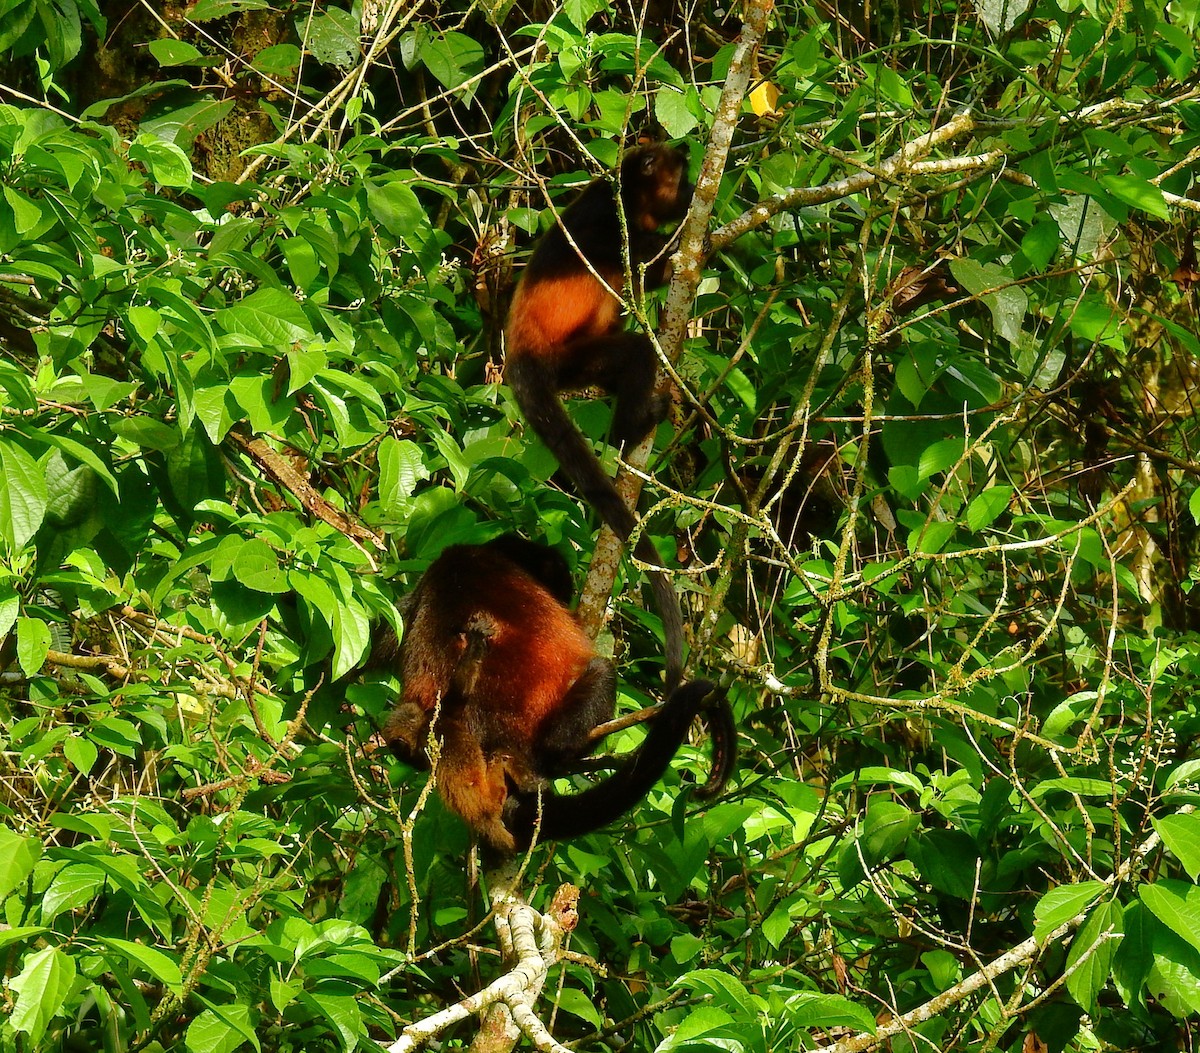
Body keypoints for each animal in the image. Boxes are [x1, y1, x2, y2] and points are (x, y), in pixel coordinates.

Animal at [503, 144, 694, 690]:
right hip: (562, 359)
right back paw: (631, 428)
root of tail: (518, 360)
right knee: (635, 352)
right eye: (680, 177)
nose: (695, 190)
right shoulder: (610, 222)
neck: (630, 197)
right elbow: (645, 261)